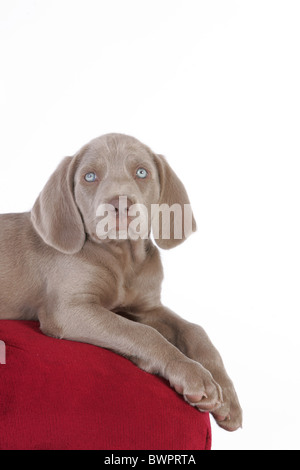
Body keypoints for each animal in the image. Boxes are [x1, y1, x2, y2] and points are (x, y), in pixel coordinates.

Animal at [0, 134, 241, 432]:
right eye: (90, 176)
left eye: (142, 172)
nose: (121, 205)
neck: (123, 260)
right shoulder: (66, 310)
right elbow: (141, 333)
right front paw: (192, 374)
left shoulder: (147, 307)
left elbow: (195, 329)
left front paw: (228, 396)